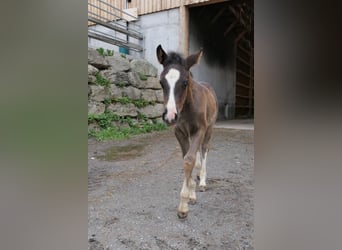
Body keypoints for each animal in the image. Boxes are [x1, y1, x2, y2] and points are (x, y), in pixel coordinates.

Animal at [156, 45, 218, 219]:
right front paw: (191, 193)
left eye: (185, 82)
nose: (170, 116)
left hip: (209, 129)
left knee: (204, 151)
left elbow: (189, 160)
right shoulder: (180, 132)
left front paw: (183, 206)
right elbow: (186, 158)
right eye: (161, 82)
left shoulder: (200, 130)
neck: (187, 108)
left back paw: (202, 181)